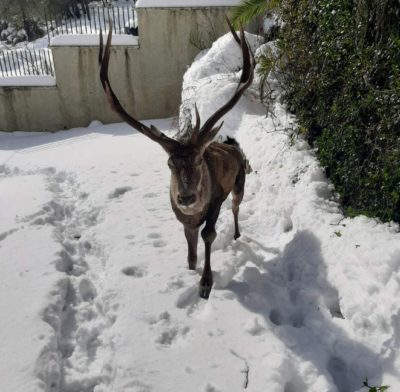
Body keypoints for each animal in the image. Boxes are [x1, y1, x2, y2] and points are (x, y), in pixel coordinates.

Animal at [100, 19, 256, 298]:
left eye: (199, 160)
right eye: (169, 163)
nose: (186, 198)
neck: (194, 212)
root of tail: (233, 145)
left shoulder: (216, 200)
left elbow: (209, 234)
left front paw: (205, 283)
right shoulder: (183, 219)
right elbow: (190, 249)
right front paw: (191, 269)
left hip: (240, 182)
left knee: (236, 206)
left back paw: (237, 233)